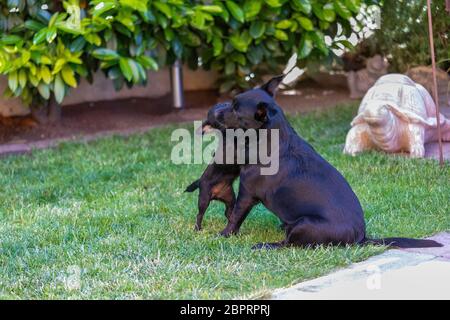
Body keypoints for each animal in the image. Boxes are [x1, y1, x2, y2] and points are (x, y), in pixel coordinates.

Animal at [184, 102, 239, 230]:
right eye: (217, 117)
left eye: (227, 104)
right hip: (204, 200)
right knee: (199, 214)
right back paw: (197, 229)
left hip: (230, 198)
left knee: (227, 212)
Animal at [212, 75, 442, 250]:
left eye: (235, 109)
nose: (215, 111)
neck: (272, 138)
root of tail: (361, 238)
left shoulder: (247, 193)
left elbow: (234, 217)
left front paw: (223, 235)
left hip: (304, 224)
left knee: (289, 244)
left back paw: (266, 245)